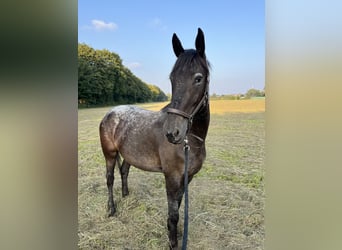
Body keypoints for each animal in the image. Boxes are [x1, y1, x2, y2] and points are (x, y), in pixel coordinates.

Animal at [99, 28, 210, 249]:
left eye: (198, 78)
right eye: (172, 78)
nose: (172, 133)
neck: (191, 141)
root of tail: (110, 113)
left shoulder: (186, 178)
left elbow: (178, 206)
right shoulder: (172, 177)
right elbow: (174, 213)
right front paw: (173, 242)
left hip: (129, 155)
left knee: (124, 171)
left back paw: (126, 195)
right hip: (109, 154)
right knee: (110, 179)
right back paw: (111, 209)